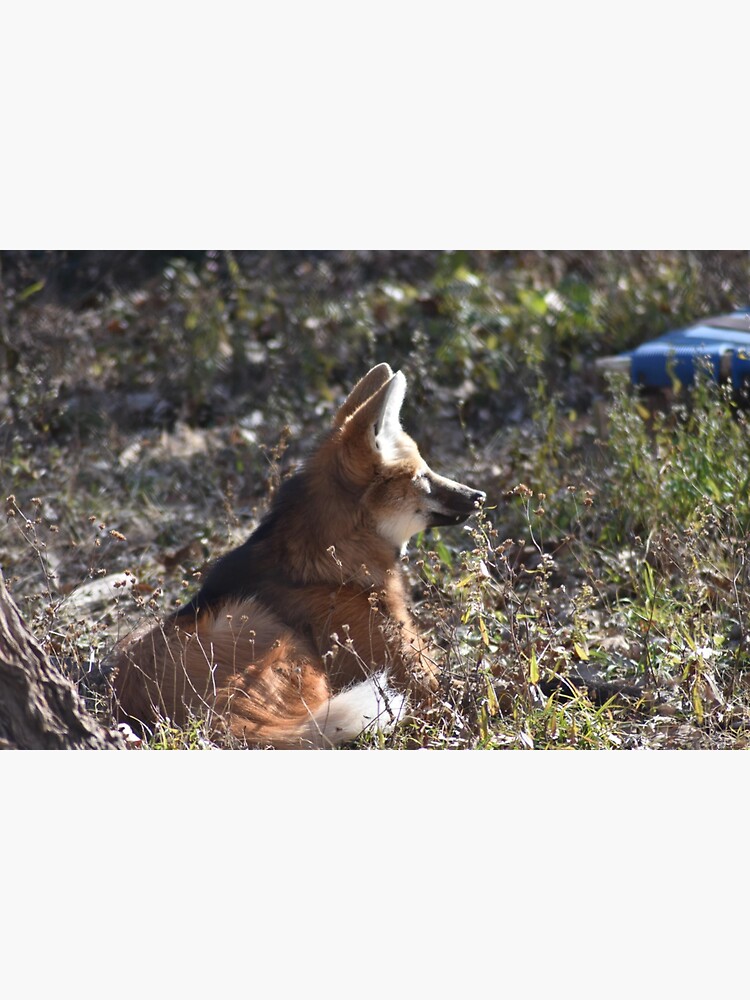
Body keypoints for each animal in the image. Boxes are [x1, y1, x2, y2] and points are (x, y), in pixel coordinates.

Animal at [110, 363, 485, 748]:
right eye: (423, 477)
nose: (478, 496)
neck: (331, 565)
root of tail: (213, 723)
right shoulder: (411, 677)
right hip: (280, 640)